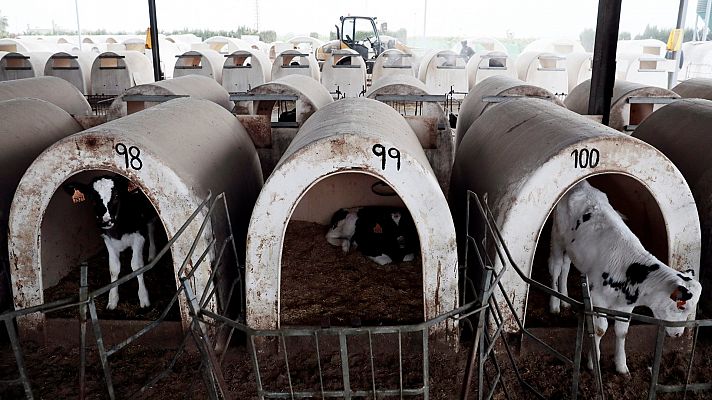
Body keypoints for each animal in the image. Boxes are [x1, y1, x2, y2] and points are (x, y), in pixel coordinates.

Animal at [64, 177, 157, 310]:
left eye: (117, 195)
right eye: (92, 198)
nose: (106, 221)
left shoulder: (139, 236)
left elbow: (137, 266)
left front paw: (144, 298)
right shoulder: (107, 239)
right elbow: (114, 268)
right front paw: (112, 300)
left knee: (151, 228)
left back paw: (152, 254)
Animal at [548, 181, 704, 376]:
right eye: (681, 306)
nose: (678, 335)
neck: (630, 273)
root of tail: (581, 185)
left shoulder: (626, 306)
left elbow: (622, 332)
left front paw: (621, 366)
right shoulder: (597, 299)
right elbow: (600, 329)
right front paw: (593, 363)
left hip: (572, 250)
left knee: (565, 267)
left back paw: (565, 300)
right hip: (557, 237)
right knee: (555, 268)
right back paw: (554, 304)